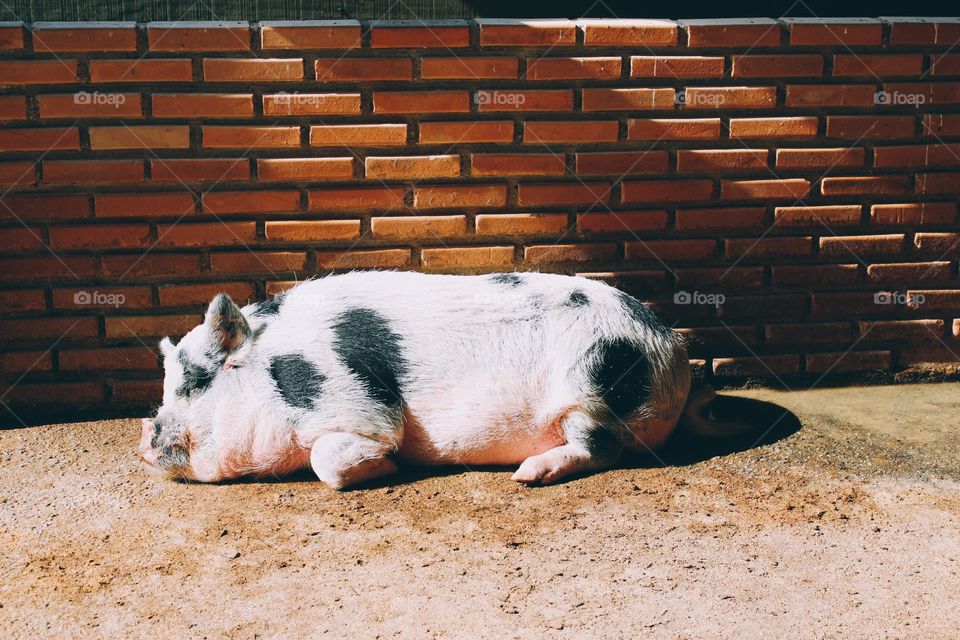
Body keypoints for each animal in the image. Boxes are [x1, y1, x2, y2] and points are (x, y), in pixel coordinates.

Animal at [140, 271, 744, 489]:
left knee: (604, 448)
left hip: (591, 389)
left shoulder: (357, 403)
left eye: (193, 382)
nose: (145, 433)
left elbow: (329, 461)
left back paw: (526, 475)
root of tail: (671, 349)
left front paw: (387, 466)